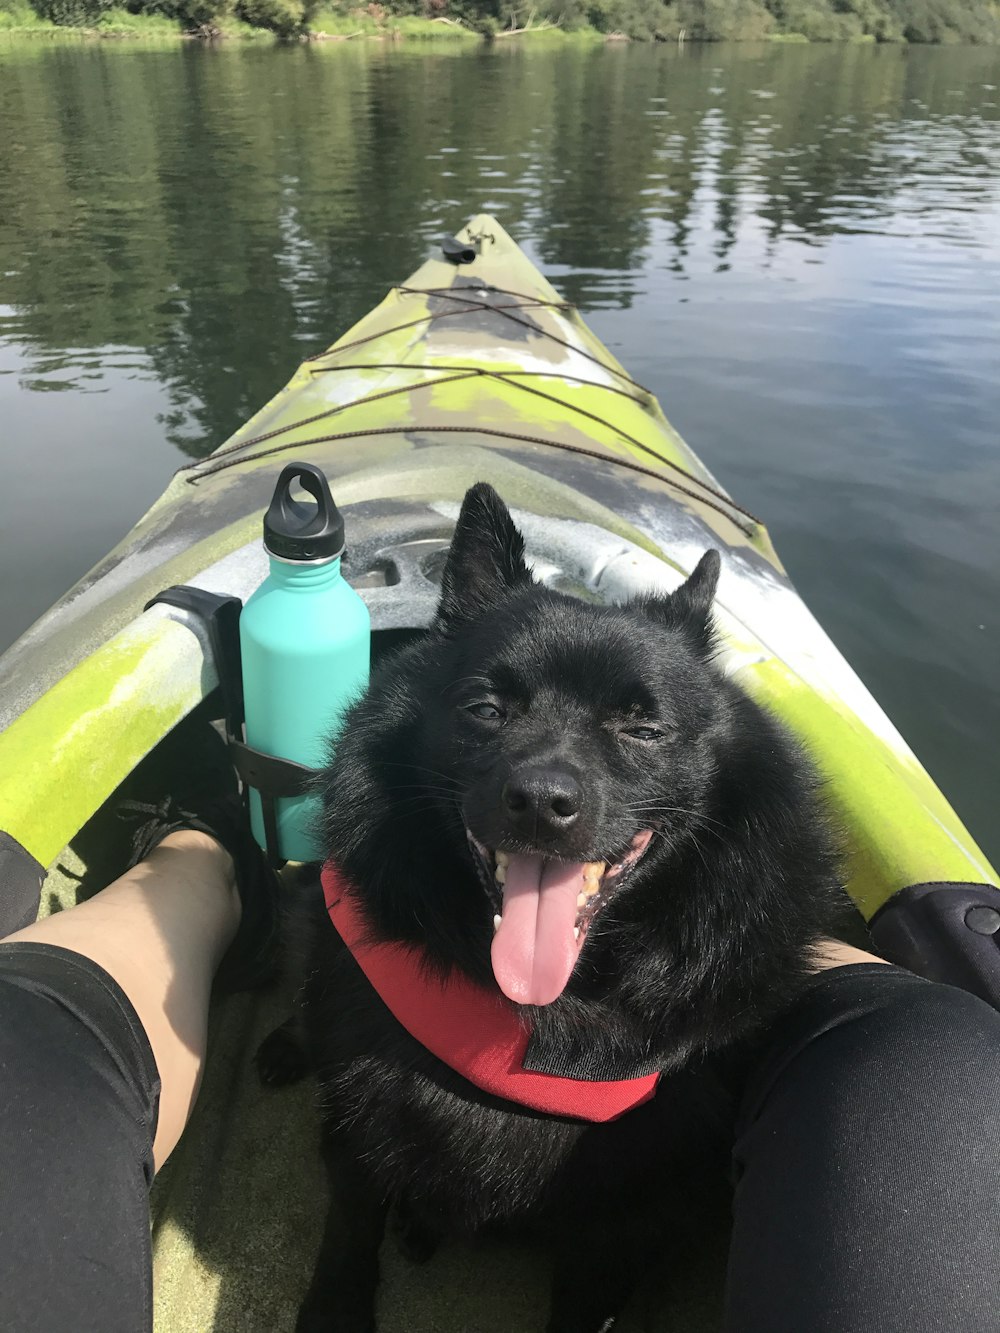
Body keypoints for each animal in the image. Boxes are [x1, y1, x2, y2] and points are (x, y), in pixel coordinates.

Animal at [268, 485, 848, 1333]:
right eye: (486, 708)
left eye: (643, 727)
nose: (542, 801)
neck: (545, 1013)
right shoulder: (357, 1120)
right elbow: (348, 1234)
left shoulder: (624, 1217)